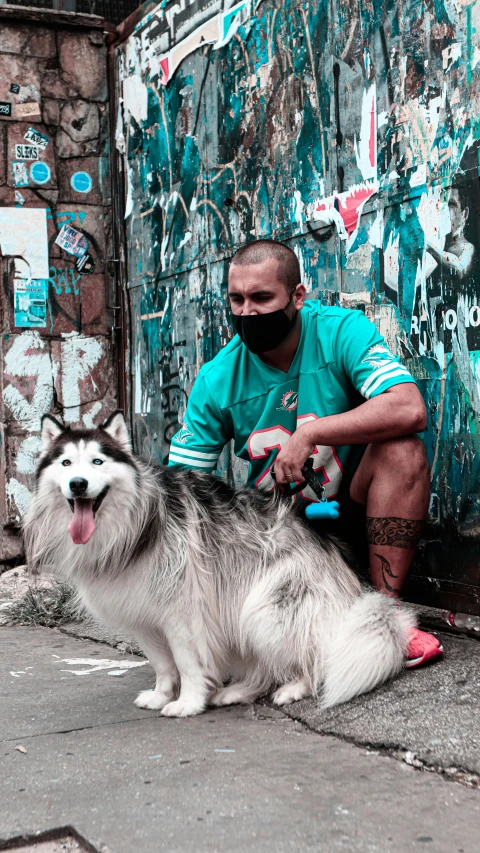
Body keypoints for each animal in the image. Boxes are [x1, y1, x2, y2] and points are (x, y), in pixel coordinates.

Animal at [22, 410, 414, 716]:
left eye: (97, 462)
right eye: (66, 463)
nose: (77, 484)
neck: (136, 522)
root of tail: (331, 548)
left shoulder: (182, 611)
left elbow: (188, 662)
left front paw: (188, 702)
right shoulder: (142, 614)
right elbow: (162, 664)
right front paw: (162, 694)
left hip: (266, 610)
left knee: (311, 655)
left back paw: (294, 687)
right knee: (262, 668)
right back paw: (238, 691)